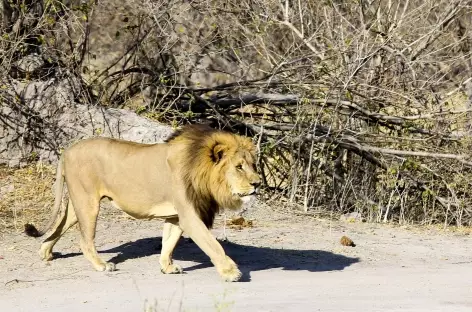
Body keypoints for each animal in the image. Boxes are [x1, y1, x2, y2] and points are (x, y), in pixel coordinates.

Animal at [24, 124, 262, 282]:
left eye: (252, 165)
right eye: (239, 167)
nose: (258, 183)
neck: (198, 169)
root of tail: (67, 151)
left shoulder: (176, 216)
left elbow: (169, 243)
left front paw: (167, 268)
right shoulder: (189, 214)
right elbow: (212, 244)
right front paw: (231, 272)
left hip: (79, 203)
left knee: (60, 224)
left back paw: (45, 251)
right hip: (88, 203)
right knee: (84, 240)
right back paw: (102, 266)